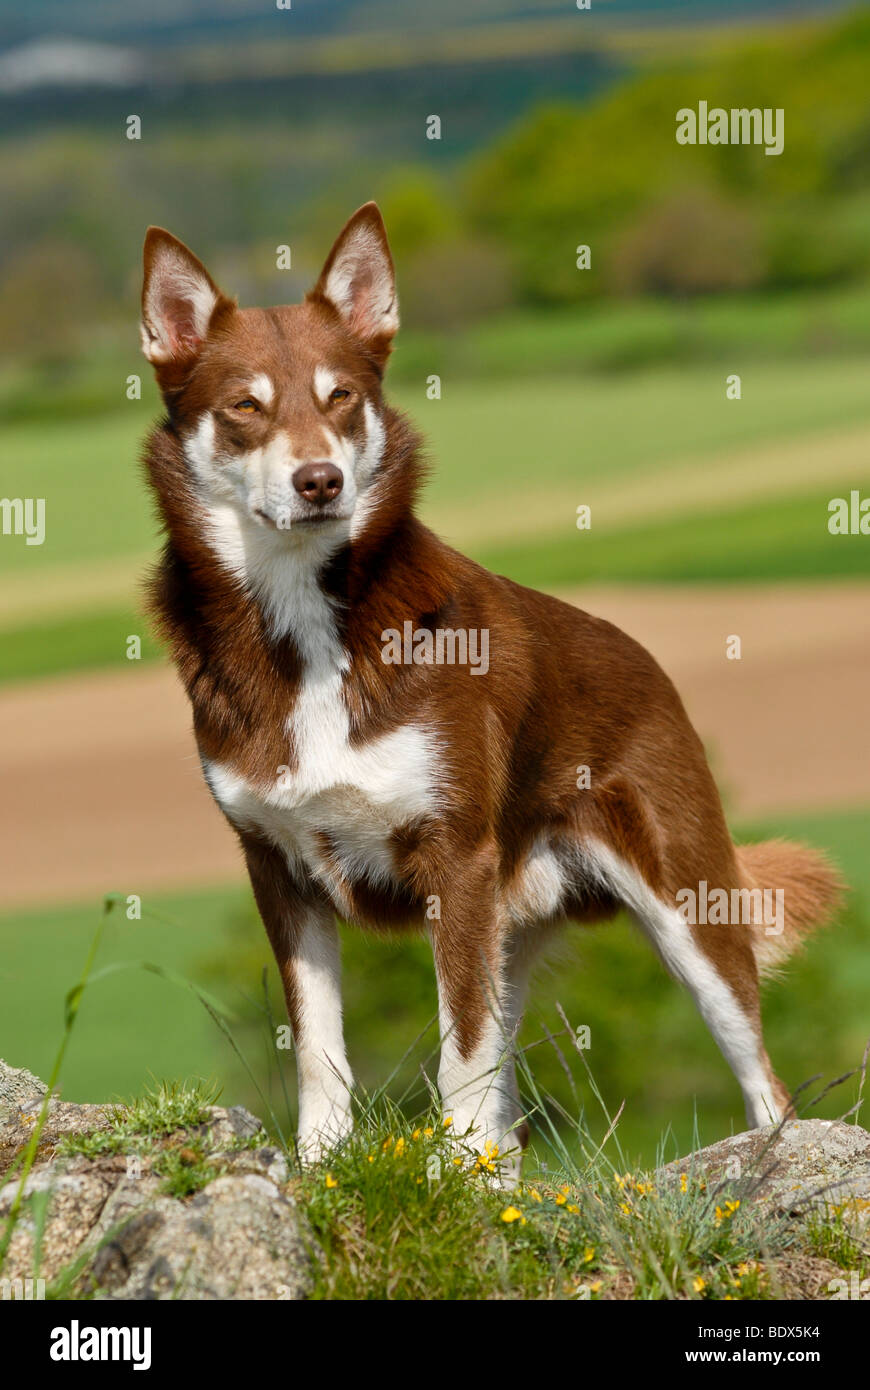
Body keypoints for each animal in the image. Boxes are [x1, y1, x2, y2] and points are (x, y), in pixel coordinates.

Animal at [140, 202, 839, 1173]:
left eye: (341, 397)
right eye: (246, 406)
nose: (320, 481)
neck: (309, 622)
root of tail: (644, 657)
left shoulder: (457, 862)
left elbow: (459, 1050)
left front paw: (452, 1173)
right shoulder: (279, 868)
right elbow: (319, 1044)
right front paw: (320, 1165)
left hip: (686, 905)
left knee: (759, 1072)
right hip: (516, 924)